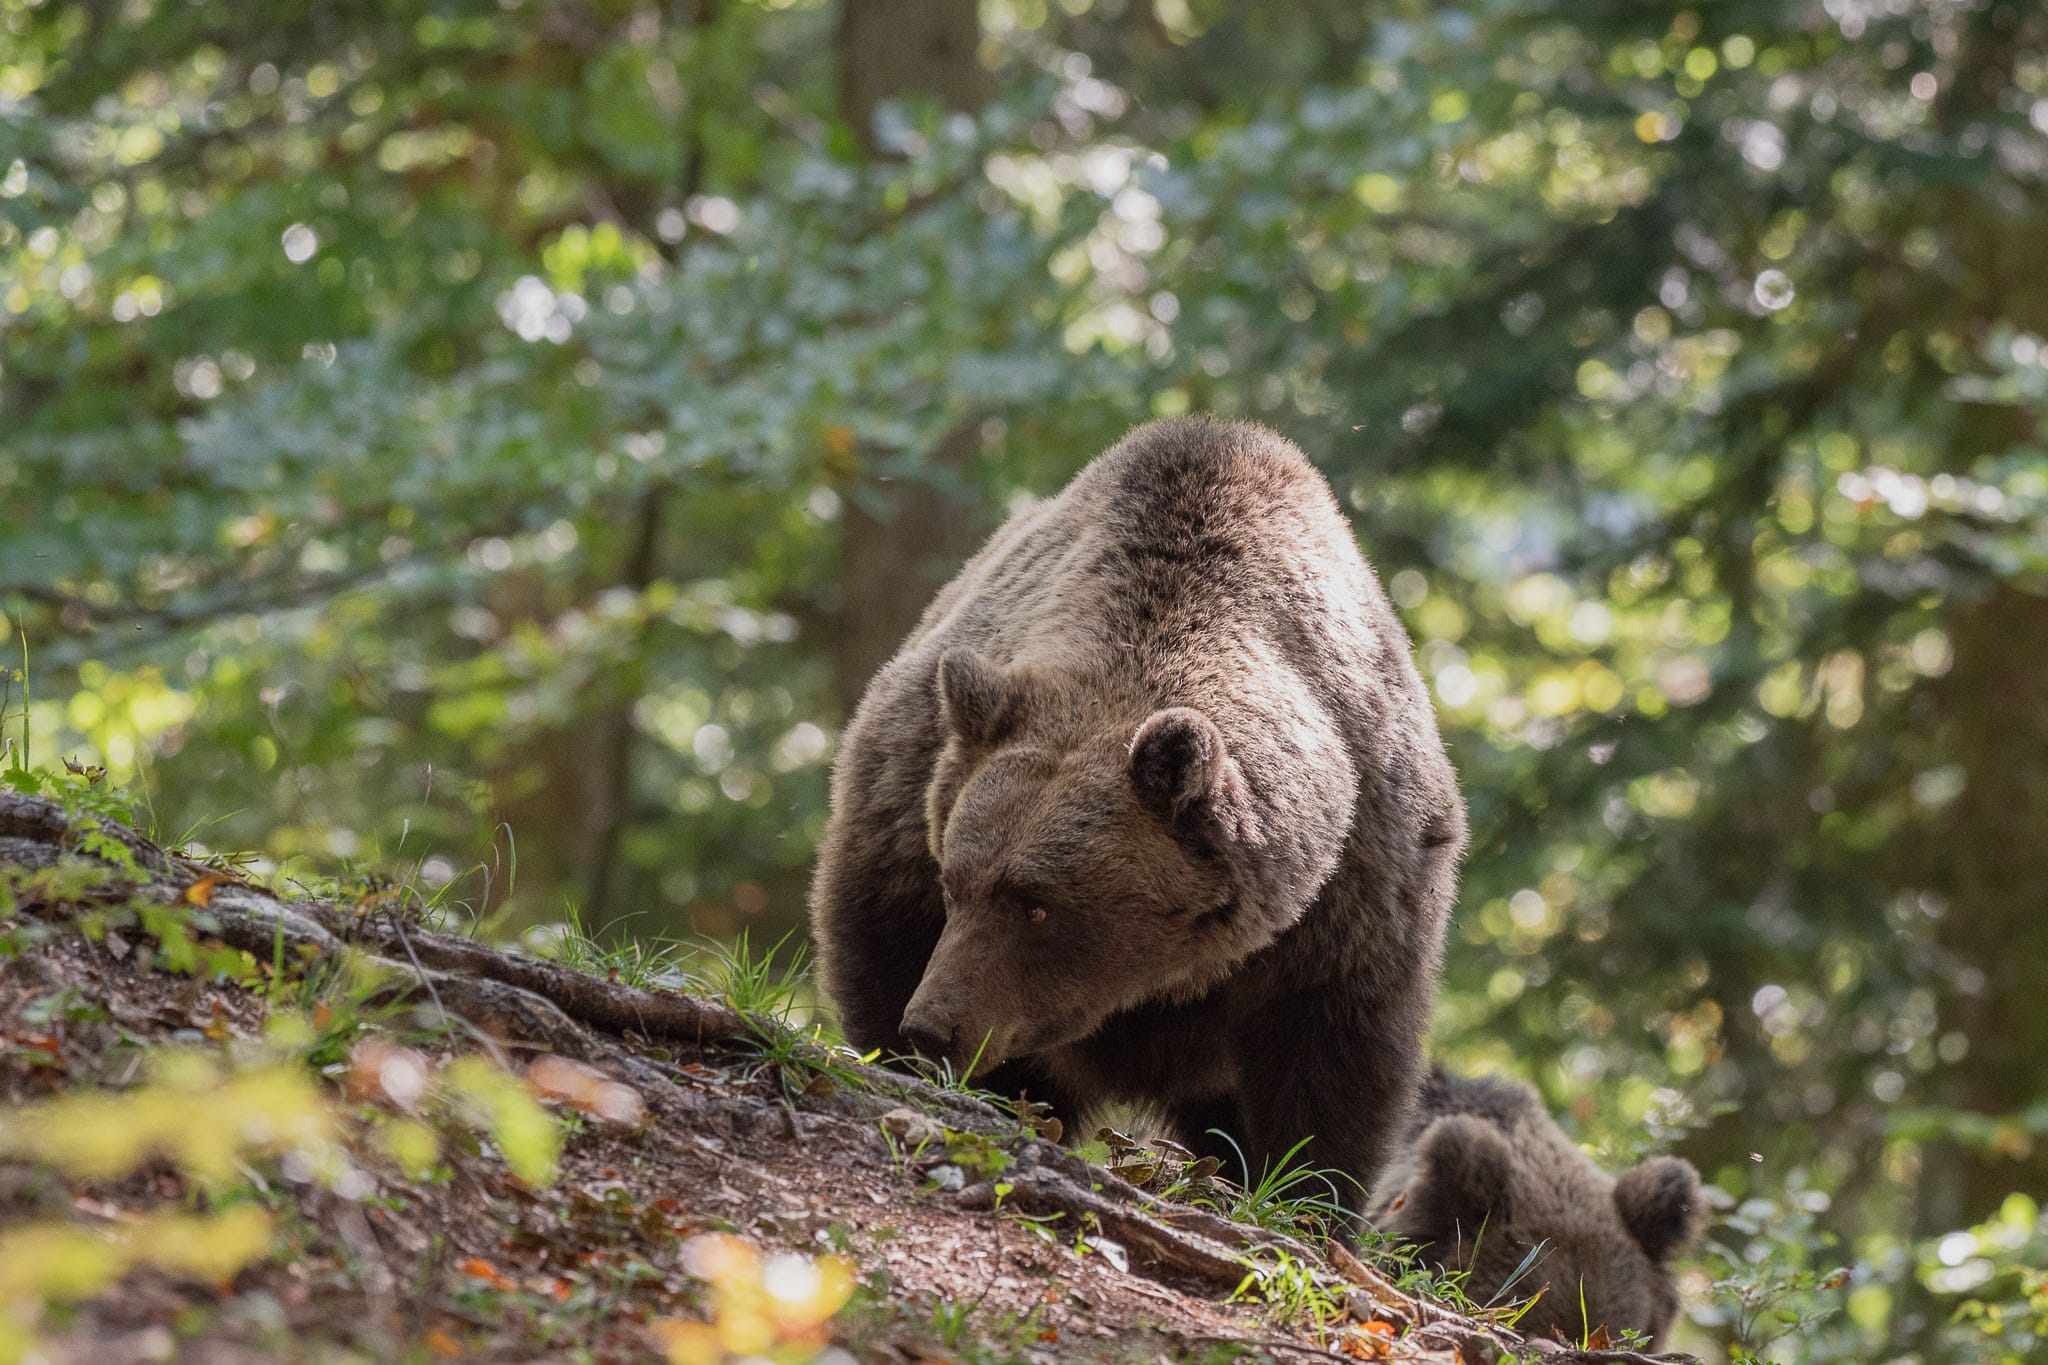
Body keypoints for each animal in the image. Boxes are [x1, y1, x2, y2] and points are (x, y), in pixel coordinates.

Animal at [808, 416, 1467, 1208]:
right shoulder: (909, 792)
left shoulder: (1358, 875)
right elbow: (883, 939)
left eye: (1038, 904)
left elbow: (1334, 1053)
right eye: (953, 883)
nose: (932, 1027)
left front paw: (1306, 1194)